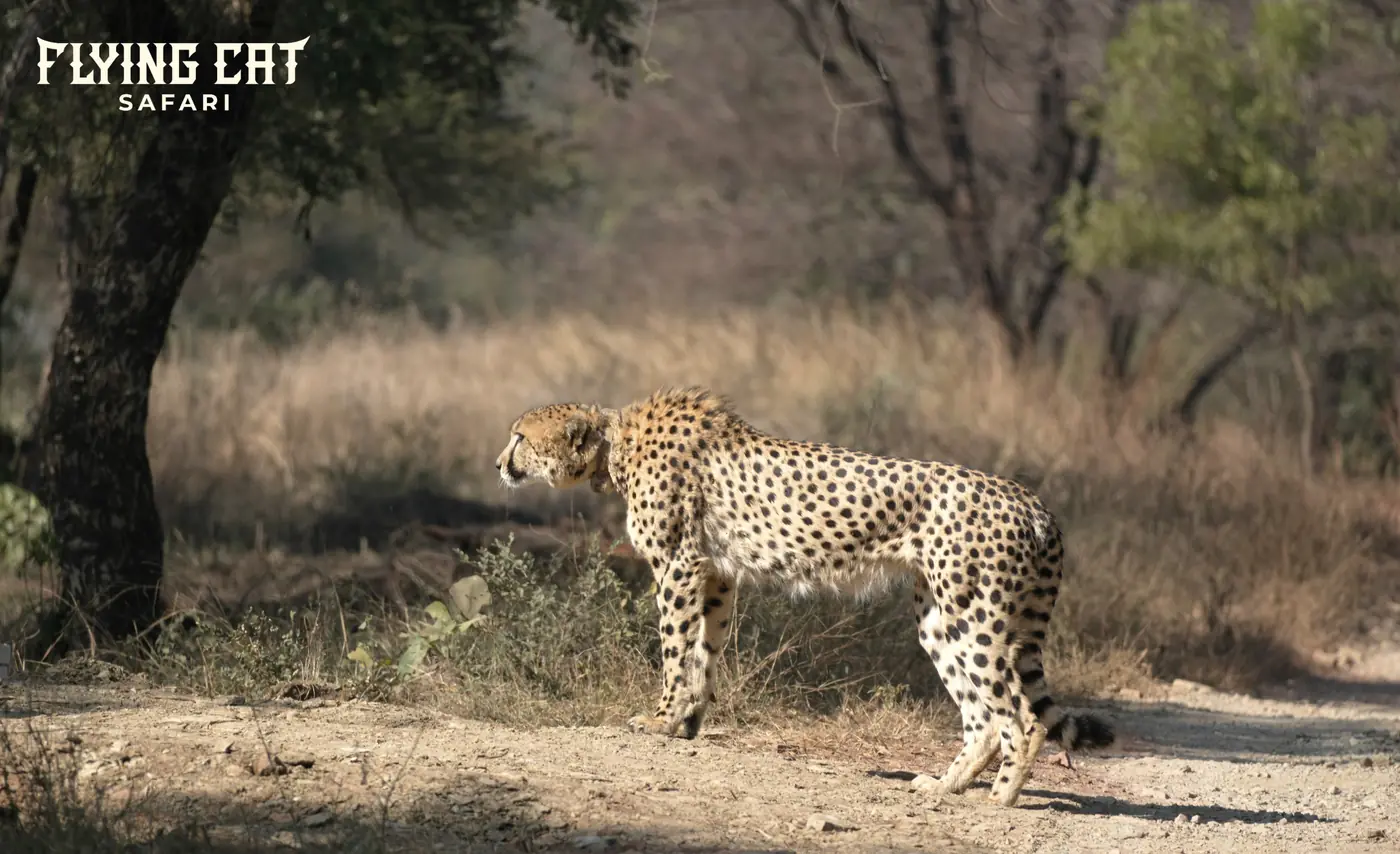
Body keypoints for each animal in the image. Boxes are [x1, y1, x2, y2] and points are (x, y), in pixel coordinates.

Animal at [494, 386, 1114, 807]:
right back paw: (944, 785)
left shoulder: (678, 567)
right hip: (939, 618)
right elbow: (704, 652)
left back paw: (1000, 798)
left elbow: (673, 650)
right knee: (983, 716)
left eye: (520, 436)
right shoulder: (716, 574)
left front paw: (662, 720)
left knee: (1021, 717)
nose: (500, 464)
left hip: (976, 614)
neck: (615, 448)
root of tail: (1030, 499)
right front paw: (689, 722)